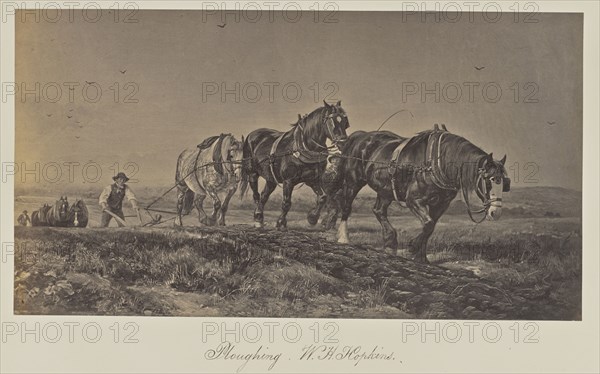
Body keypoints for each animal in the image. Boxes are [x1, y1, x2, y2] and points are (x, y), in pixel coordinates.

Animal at [240, 101, 350, 229]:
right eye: (333, 121)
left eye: (345, 121)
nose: (344, 143)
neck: (304, 147)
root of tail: (252, 135)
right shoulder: (288, 181)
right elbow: (286, 203)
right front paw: (280, 222)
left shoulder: (313, 180)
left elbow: (323, 197)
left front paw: (312, 217)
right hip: (252, 173)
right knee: (256, 195)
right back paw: (258, 217)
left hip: (271, 178)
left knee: (264, 195)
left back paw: (259, 217)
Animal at [324, 125, 510, 262]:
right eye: (489, 181)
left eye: (505, 183)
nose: (496, 212)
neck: (438, 162)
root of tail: (360, 136)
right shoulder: (413, 200)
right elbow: (427, 224)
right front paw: (412, 248)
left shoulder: (440, 204)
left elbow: (430, 227)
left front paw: (421, 258)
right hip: (353, 182)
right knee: (346, 206)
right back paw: (344, 238)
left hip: (385, 189)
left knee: (378, 210)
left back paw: (390, 242)